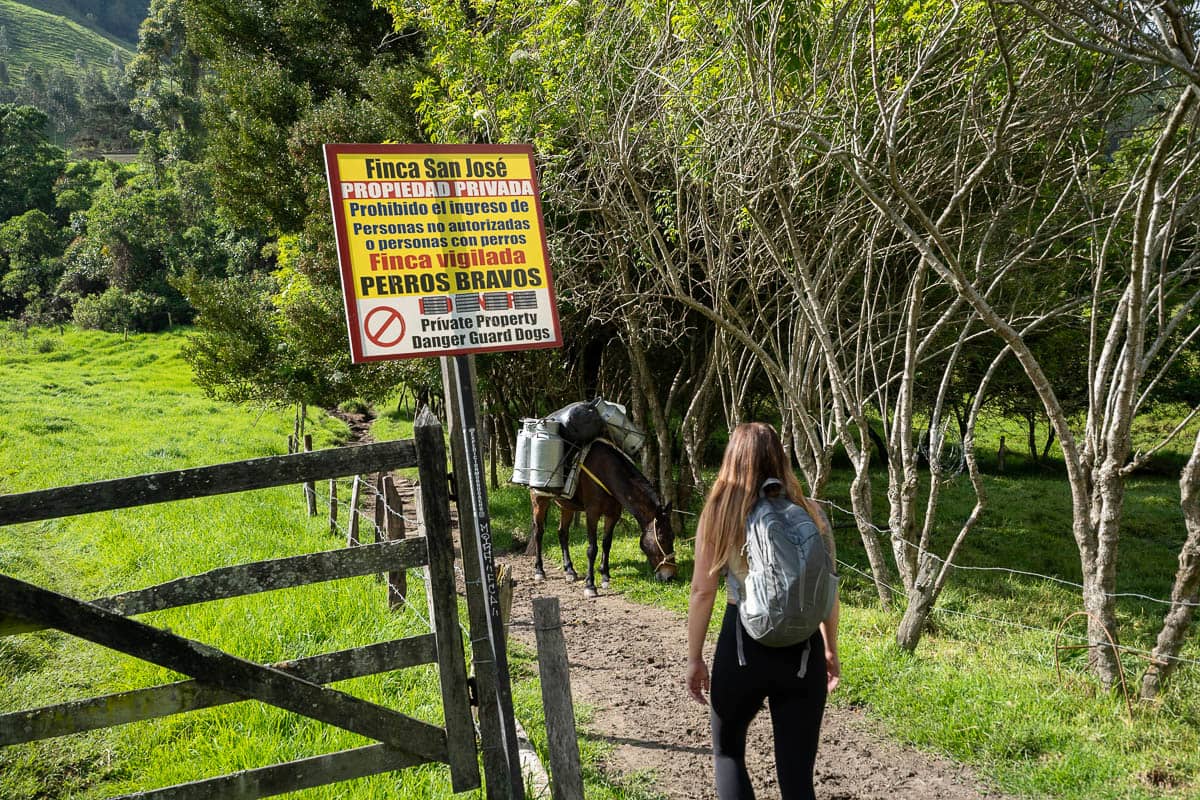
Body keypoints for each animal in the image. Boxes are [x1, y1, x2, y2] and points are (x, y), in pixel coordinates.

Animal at [525, 441, 676, 597]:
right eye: (662, 539)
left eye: (673, 537)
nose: (670, 575)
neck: (606, 474)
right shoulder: (592, 514)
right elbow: (592, 549)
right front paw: (590, 585)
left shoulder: (613, 515)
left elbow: (606, 544)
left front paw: (605, 576)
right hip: (539, 500)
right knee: (539, 532)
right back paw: (539, 571)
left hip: (566, 506)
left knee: (562, 533)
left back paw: (570, 570)